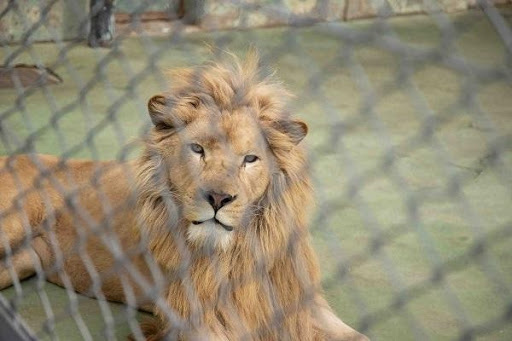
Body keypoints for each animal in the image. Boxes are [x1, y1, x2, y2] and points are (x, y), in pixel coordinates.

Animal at [1, 51, 368, 340]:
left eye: (250, 159)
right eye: (197, 149)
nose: (218, 199)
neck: (238, 251)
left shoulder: (300, 300)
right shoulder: (194, 318)